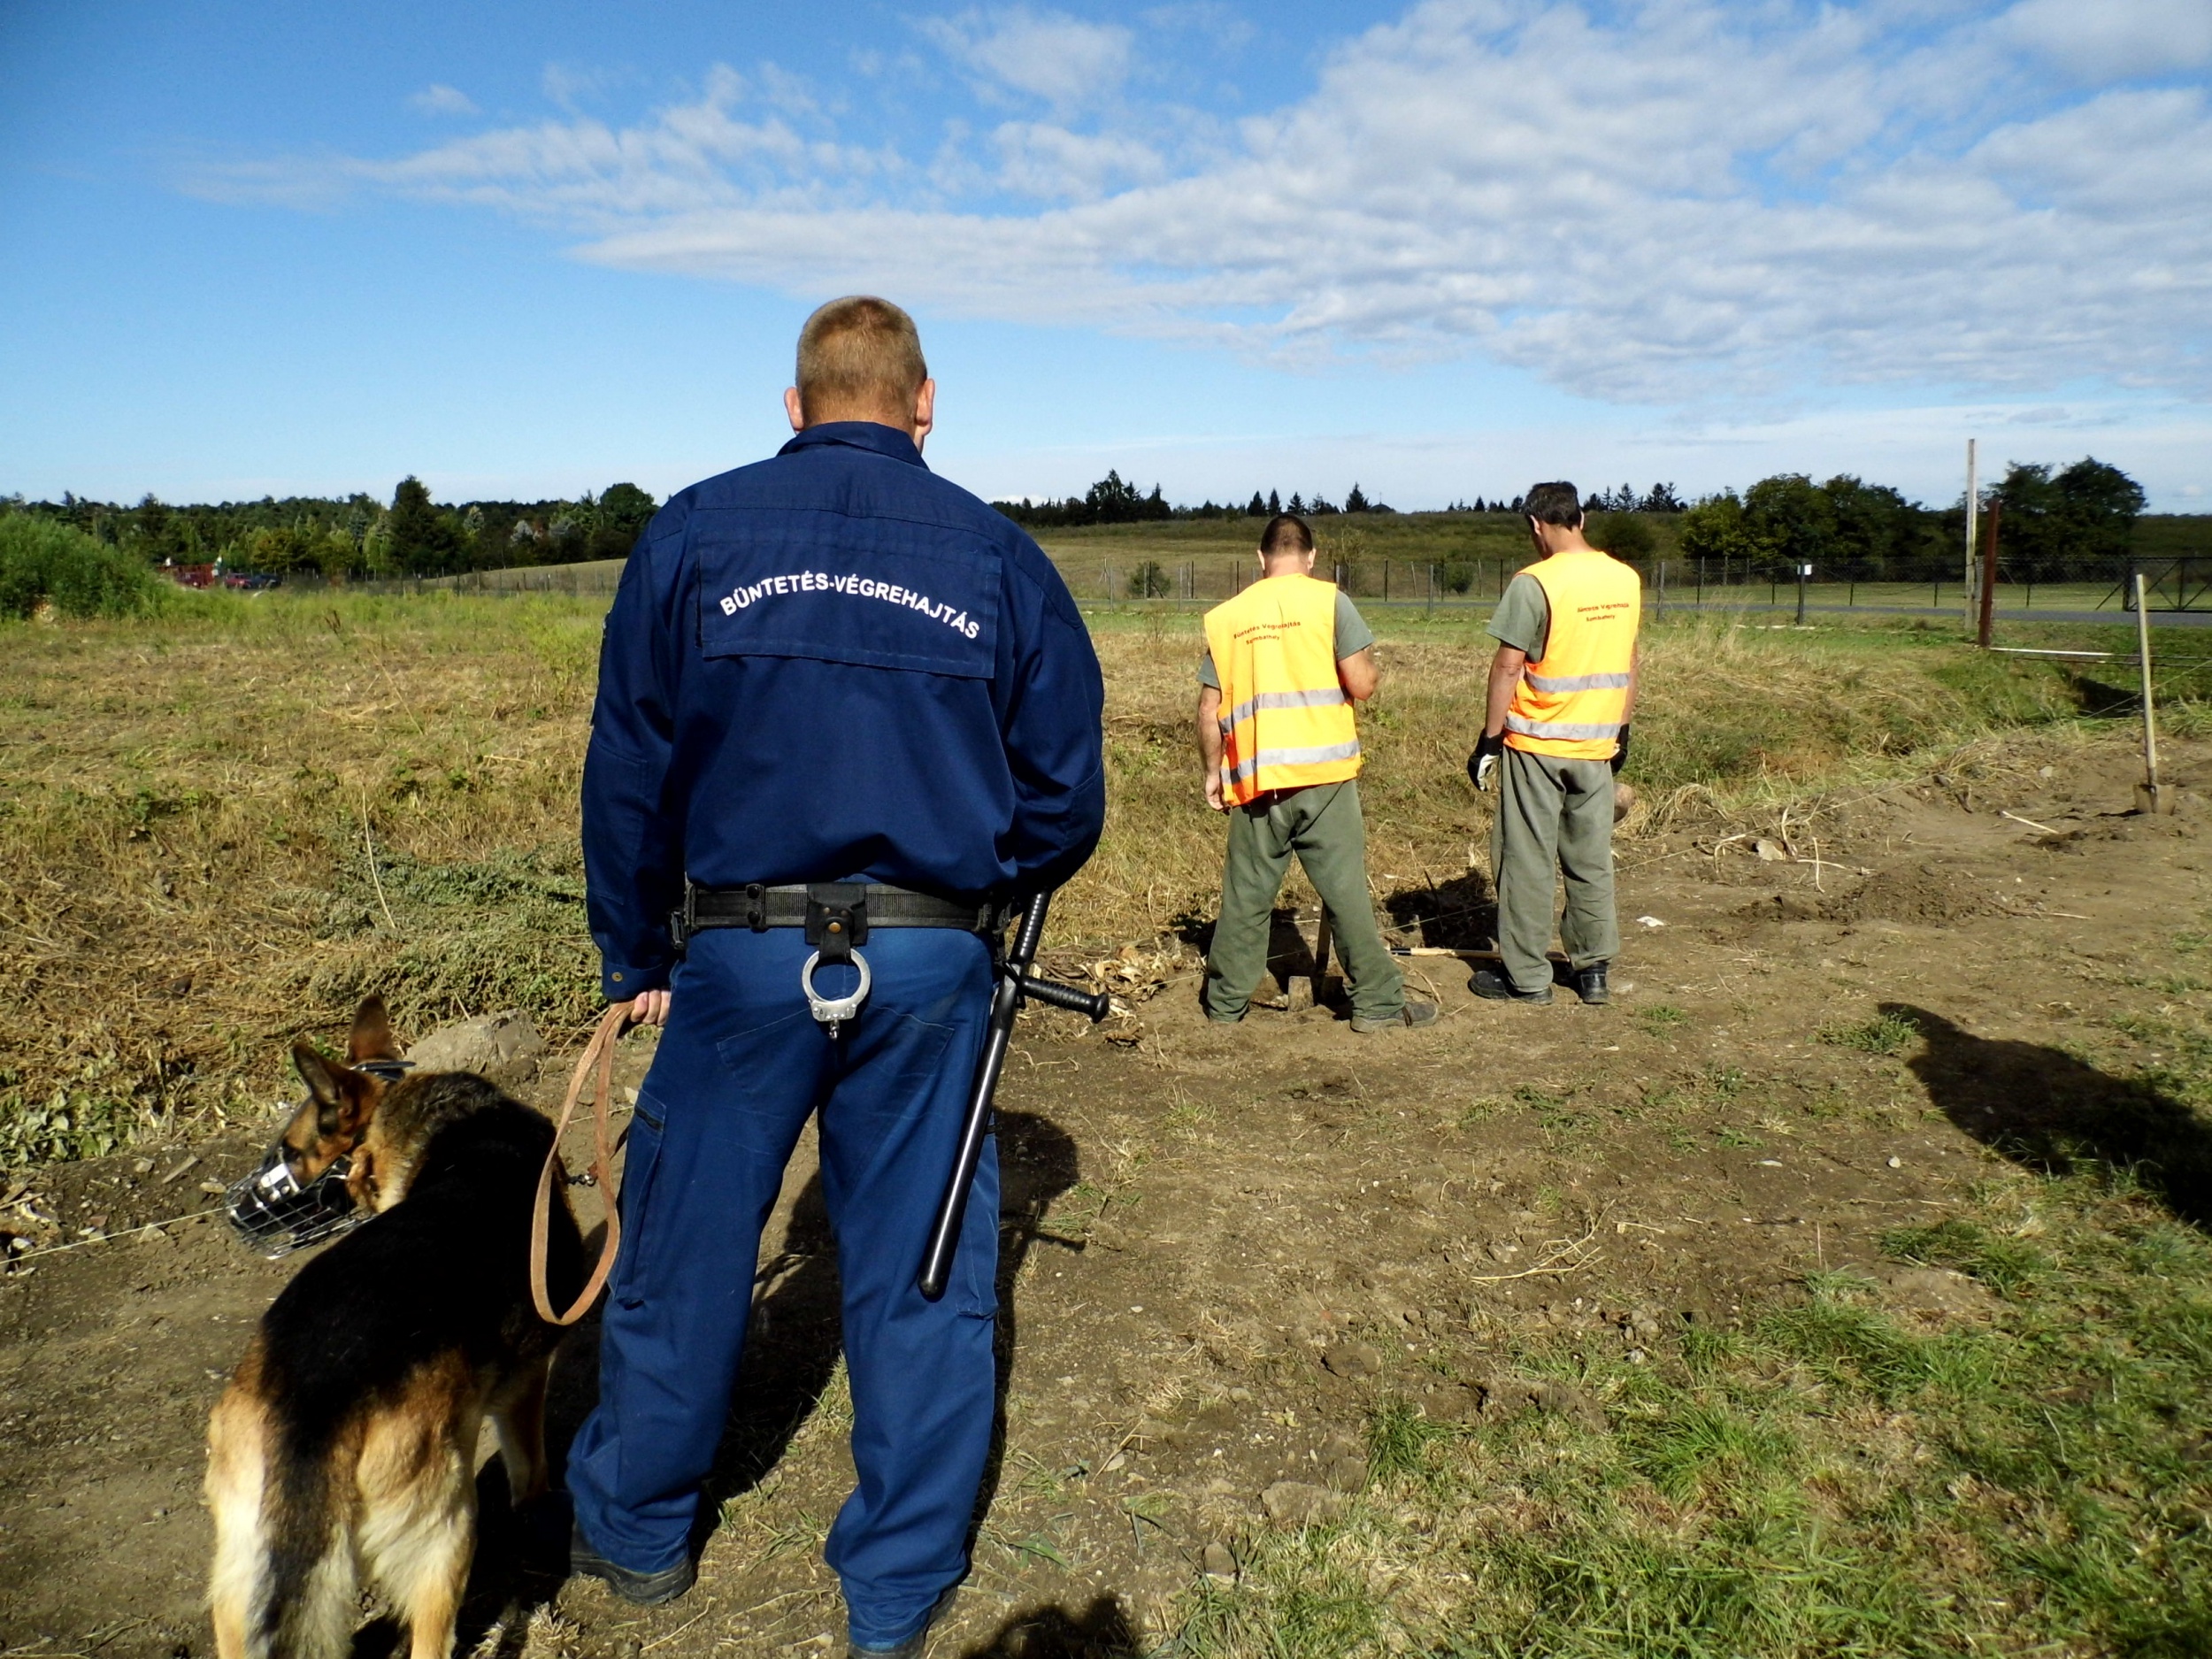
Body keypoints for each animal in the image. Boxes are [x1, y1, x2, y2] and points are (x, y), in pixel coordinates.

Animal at [206, 995, 586, 1659]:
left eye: (291, 1150)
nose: (239, 1214)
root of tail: (314, 1411)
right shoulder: (525, 1385)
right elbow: (530, 1472)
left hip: (241, 1577)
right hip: (447, 1529)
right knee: (432, 1637)